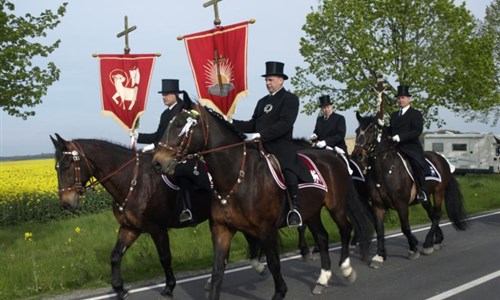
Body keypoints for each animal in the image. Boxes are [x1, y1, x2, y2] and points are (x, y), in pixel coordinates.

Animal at [48, 135, 264, 298]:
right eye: (56, 167)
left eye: (66, 165)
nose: (66, 203)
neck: (133, 181)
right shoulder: (130, 228)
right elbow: (115, 255)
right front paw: (119, 288)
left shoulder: (157, 229)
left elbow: (165, 257)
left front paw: (169, 287)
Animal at [152, 106, 376, 300]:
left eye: (181, 126)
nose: (157, 162)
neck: (236, 178)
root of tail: (333, 156)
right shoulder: (222, 229)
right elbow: (217, 271)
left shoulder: (266, 229)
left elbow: (273, 262)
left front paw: (280, 290)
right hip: (311, 211)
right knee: (322, 237)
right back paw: (322, 279)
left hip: (336, 206)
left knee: (346, 229)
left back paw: (346, 269)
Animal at [352, 113, 468, 268]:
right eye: (357, 131)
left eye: (371, 130)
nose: (357, 155)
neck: (384, 171)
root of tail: (441, 158)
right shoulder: (377, 205)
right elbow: (380, 230)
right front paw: (379, 256)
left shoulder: (401, 204)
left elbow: (405, 228)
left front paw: (413, 248)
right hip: (425, 198)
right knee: (432, 214)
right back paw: (437, 240)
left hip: (439, 192)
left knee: (437, 214)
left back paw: (427, 244)